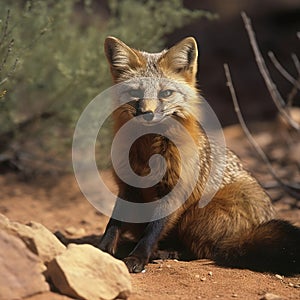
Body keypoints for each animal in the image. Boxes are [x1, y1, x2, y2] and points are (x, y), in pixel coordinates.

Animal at [99, 35, 300, 274]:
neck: (147, 152)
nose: (147, 113)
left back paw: (167, 253)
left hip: (197, 216)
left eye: (166, 93)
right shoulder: (127, 187)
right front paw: (102, 250)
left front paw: (138, 257)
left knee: (205, 251)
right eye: (135, 93)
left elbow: (152, 231)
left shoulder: (176, 189)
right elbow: (113, 224)